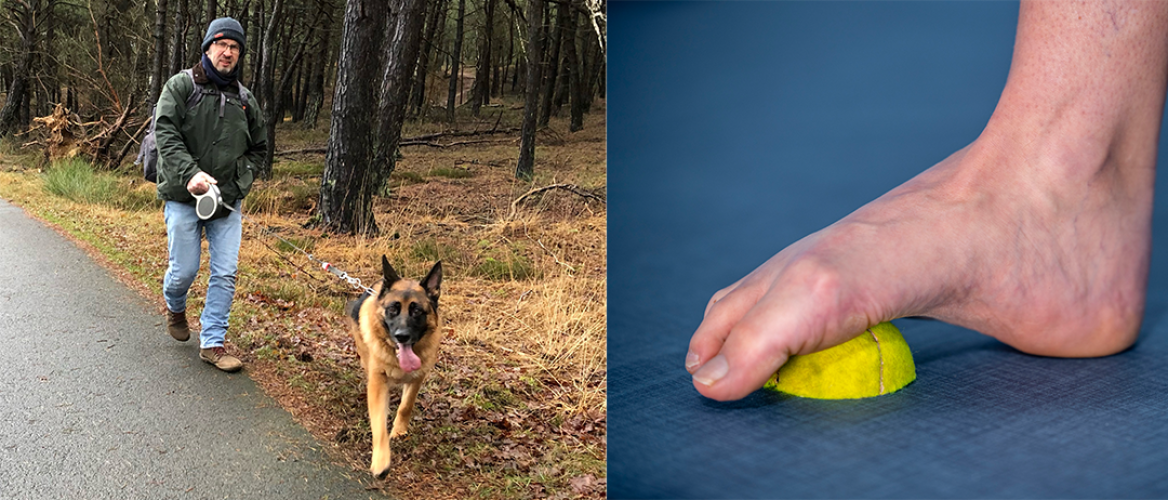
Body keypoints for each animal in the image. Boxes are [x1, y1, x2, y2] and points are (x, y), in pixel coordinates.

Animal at [345, 255, 441, 478]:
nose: (402, 336)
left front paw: (399, 430)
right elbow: (379, 423)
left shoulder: (417, 378)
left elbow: (406, 406)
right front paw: (381, 461)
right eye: (392, 310)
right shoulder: (377, 383)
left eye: (417, 311)